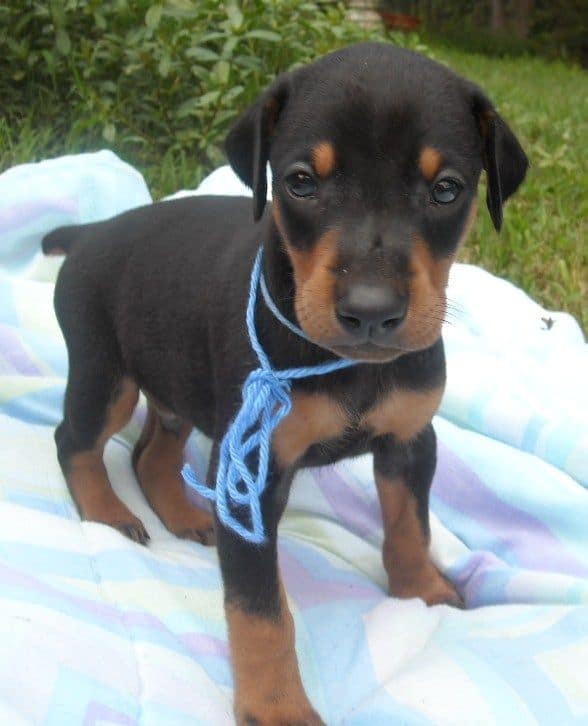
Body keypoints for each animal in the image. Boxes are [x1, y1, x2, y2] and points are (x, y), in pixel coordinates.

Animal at [42, 42, 528, 724]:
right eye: (301, 181)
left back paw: (185, 515)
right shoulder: (252, 469)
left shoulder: (411, 438)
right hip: (103, 368)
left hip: (181, 383)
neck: (346, 364)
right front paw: (277, 707)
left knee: (151, 451)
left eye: (446, 189)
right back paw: (108, 514)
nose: (371, 311)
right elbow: (260, 610)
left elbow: (411, 525)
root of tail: (90, 231)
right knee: (76, 439)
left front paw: (423, 591)